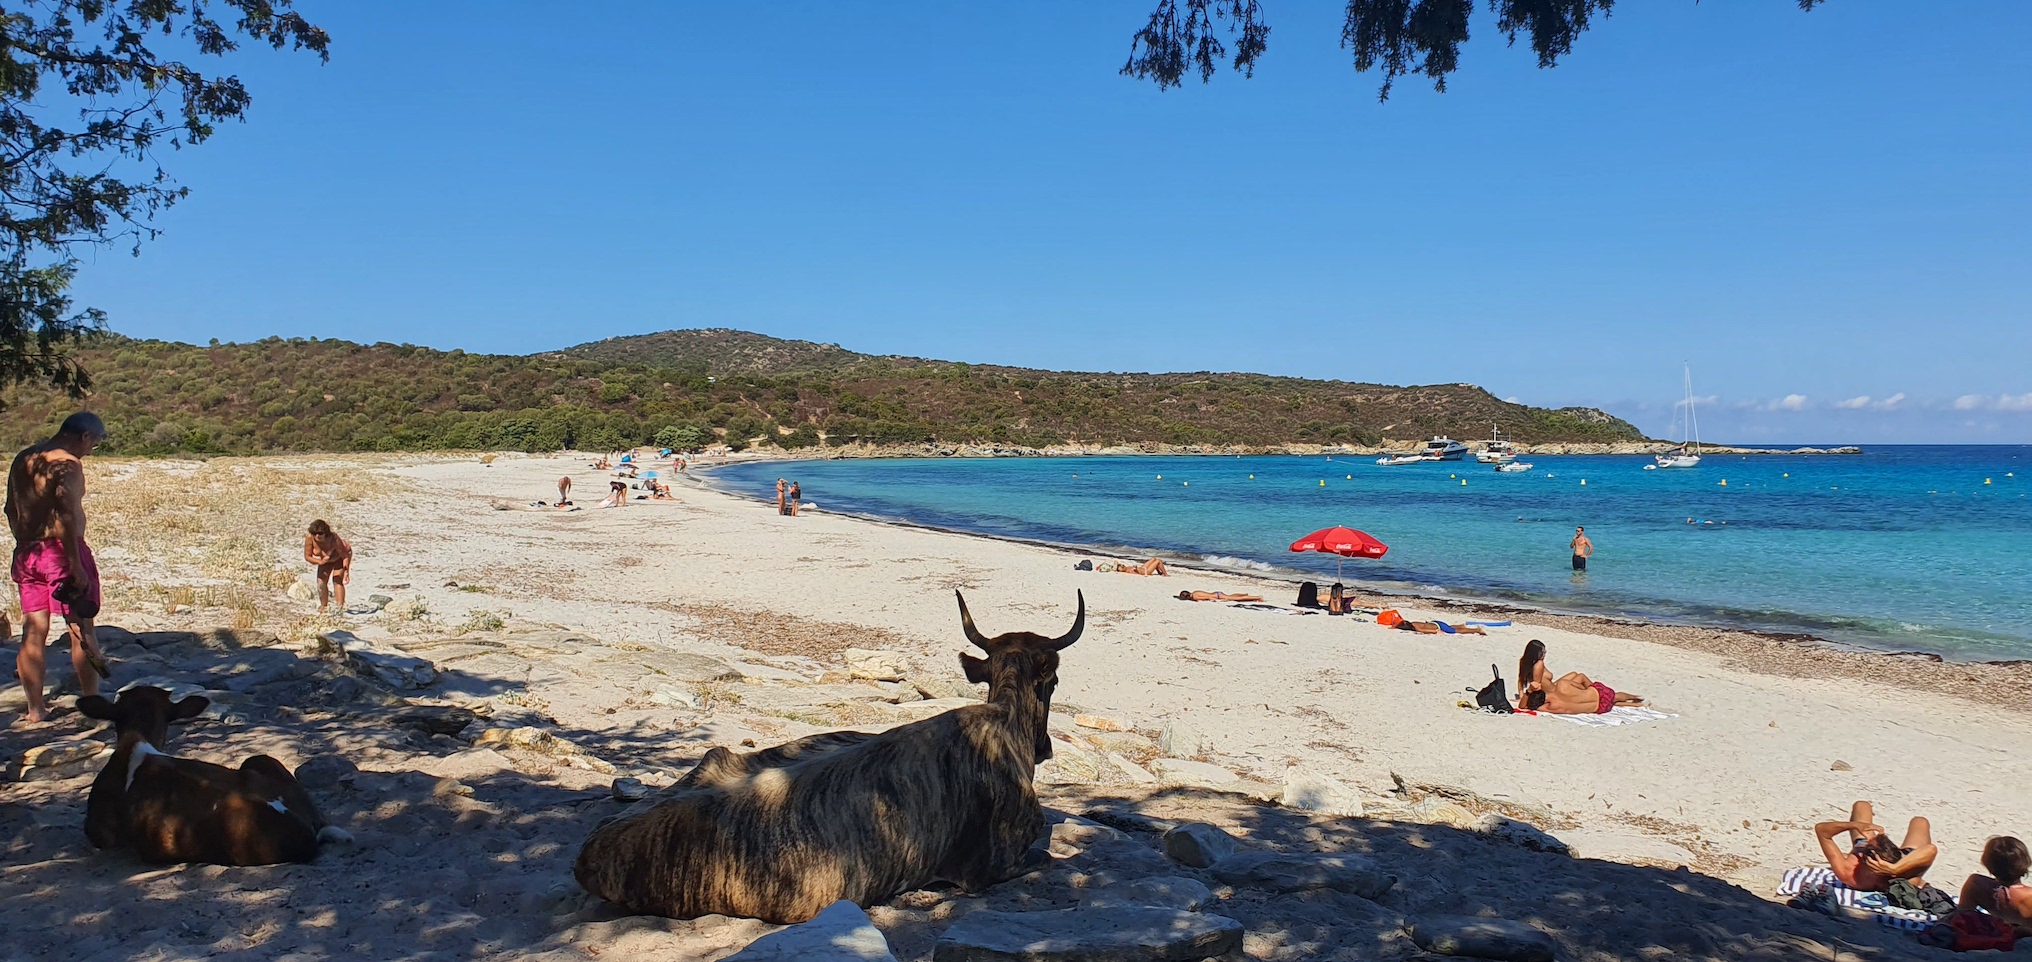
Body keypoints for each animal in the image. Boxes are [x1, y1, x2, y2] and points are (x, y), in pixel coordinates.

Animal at [573, 589, 1081, 919]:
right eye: (1054, 682)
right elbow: (1044, 856)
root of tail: (592, 851)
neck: (1003, 719)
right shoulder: (992, 865)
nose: (1046, 748)